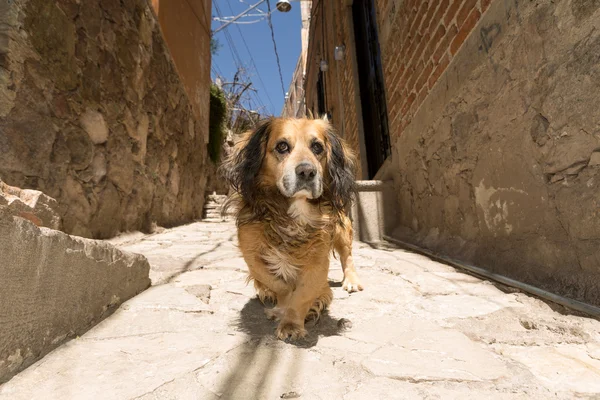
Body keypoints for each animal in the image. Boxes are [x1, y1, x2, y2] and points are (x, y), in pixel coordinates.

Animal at [220, 116, 360, 340]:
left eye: (317, 147)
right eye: (282, 146)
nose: (307, 172)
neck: (293, 212)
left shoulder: (318, 259)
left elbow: (303, 292)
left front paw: (292, 322)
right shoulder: (251, 252)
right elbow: (276, 282)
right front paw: (283, 304)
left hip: (340, 227)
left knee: (347, 255)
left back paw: (351, 281)